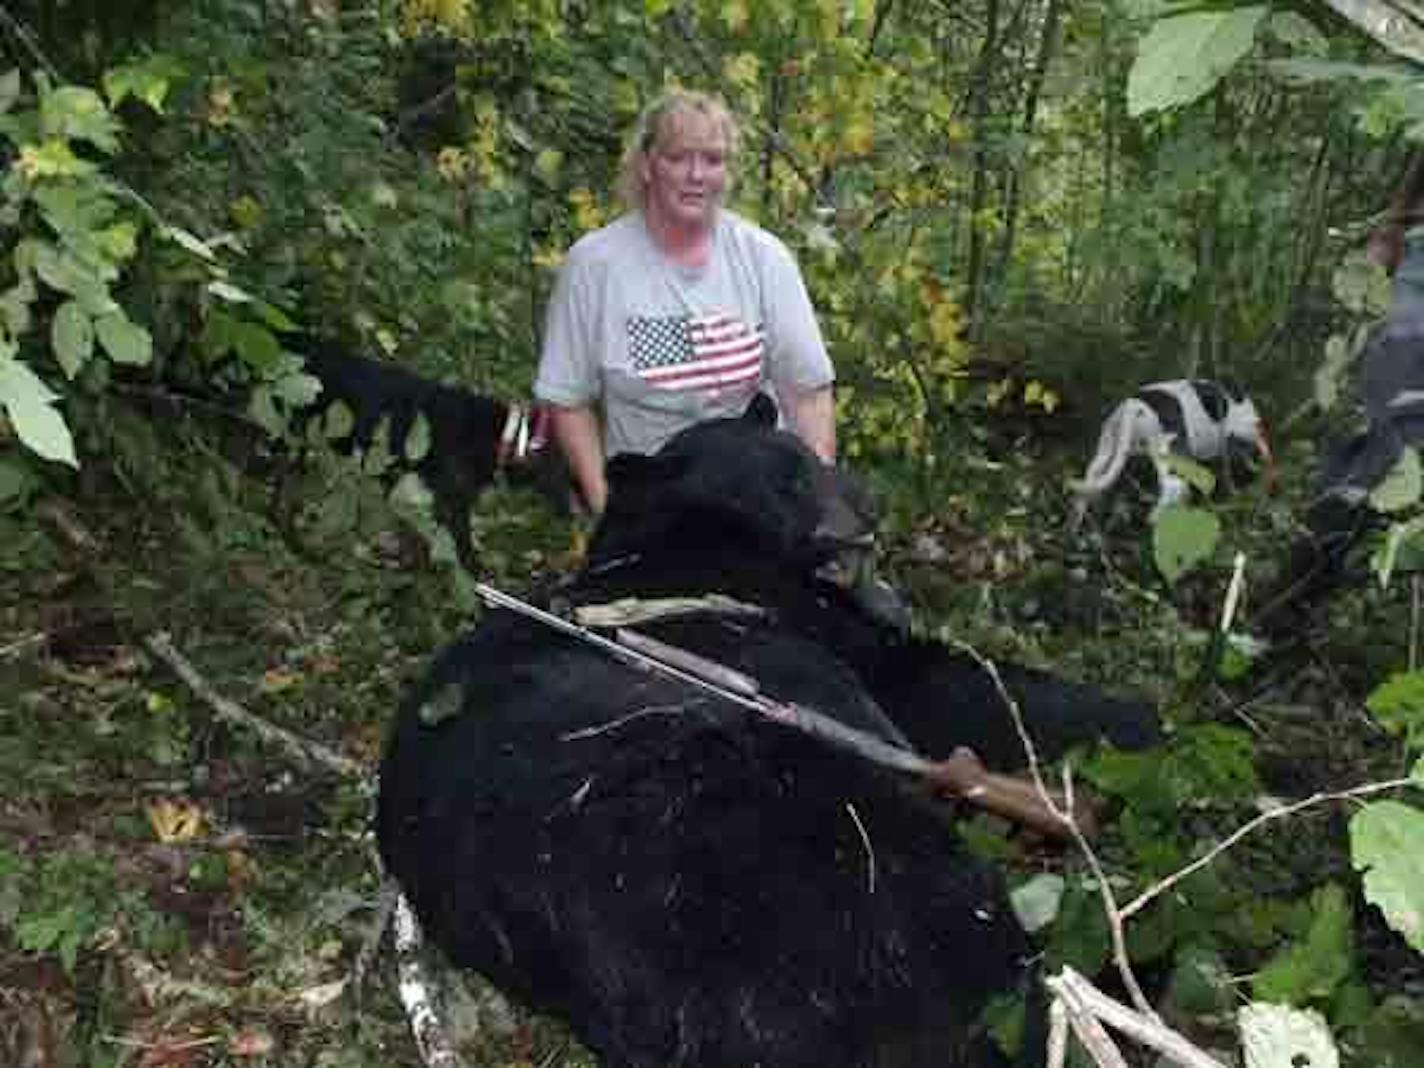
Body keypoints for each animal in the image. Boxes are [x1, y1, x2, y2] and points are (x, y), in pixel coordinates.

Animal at [378, 398, 1156, 1068]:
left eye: (807, 454)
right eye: (788, 478)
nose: (867, 503)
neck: (686, 543)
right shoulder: (823, 638)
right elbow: (947, 680)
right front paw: (1142, 723)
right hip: (822, 836)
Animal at [1070, 381, 1275, 524]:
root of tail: (1134, 405)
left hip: (1106, 449)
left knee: (1090, 480)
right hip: (1167, 451)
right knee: (1173, 487)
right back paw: (1155, 519)